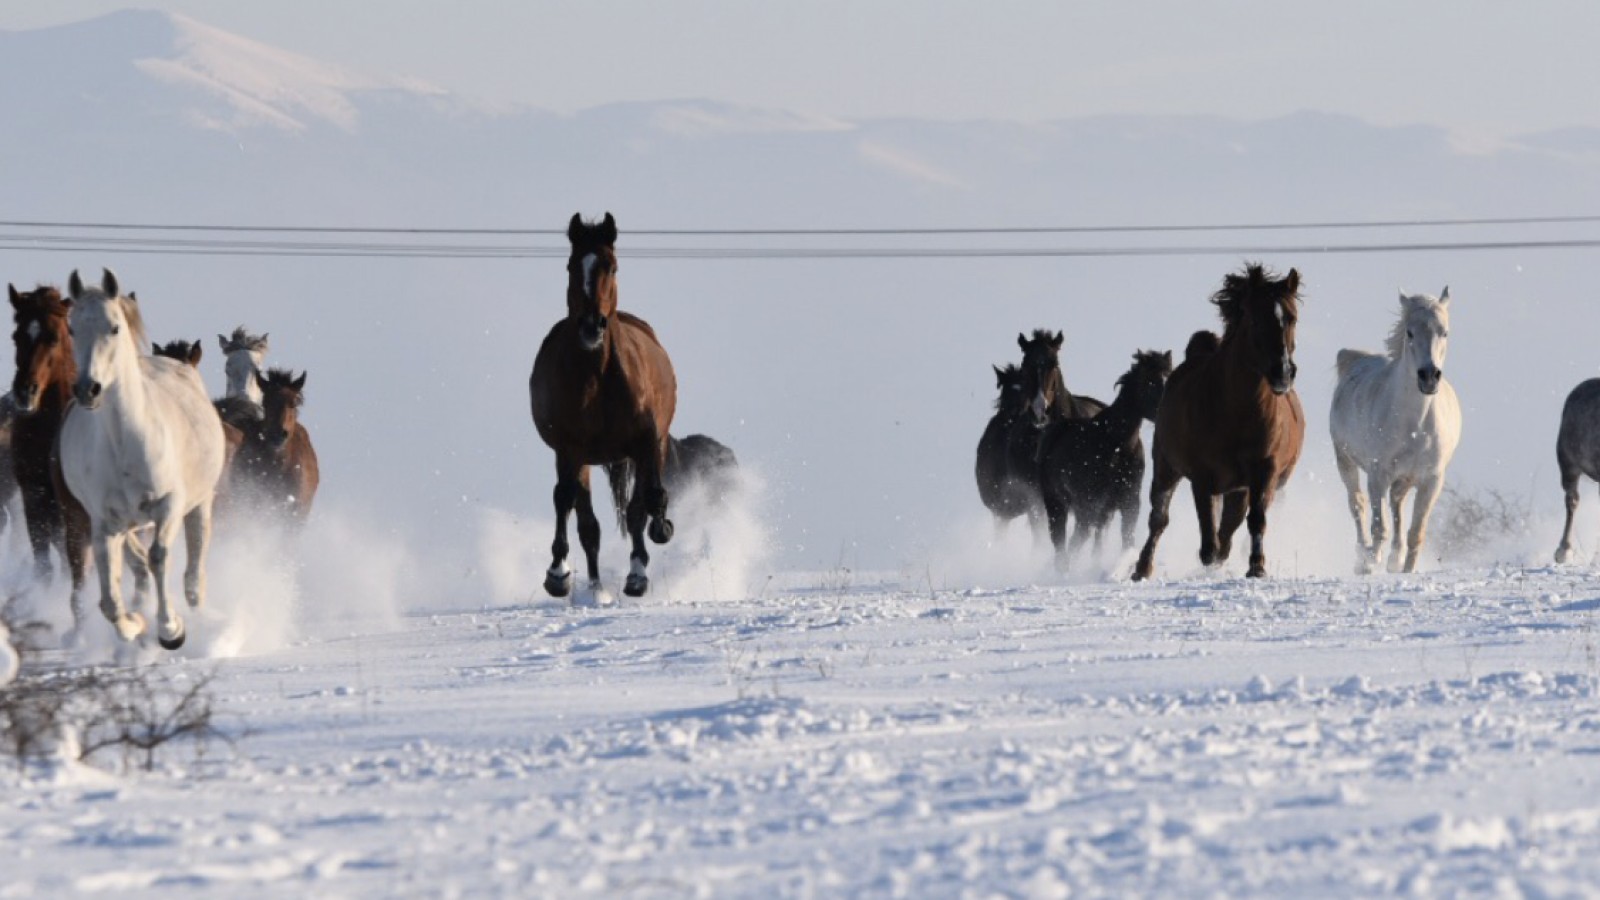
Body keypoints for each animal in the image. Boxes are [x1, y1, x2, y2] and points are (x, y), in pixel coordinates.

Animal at [59, 269, 225, 646]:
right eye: (72, 328)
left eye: (114, 327)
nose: (88, 390)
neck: (124, 444)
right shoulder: (103, 522)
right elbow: (109, 601)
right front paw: (135, 624)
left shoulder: (169, 505)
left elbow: (159, 558)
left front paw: (171, 630)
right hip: (125, 522)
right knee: (134, 562)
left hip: (200, 504)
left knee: (193, 570)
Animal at [528, 212, 672, 598]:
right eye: (571, 266)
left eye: (612, 265)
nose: (592, 326)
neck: (598, 375)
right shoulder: (568, 447)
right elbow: (565, 500)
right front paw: (557, 573)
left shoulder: (645, 443)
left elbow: (646, 503)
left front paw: (641, 567)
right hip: (583, 460)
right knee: (588, 525)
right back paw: (595, 589)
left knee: (637, 508)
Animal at [1043, 350, 1171, 566]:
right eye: (1150, 382)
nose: (1167, 412)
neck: (1115, 446)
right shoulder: (1090, 504)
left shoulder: (1128, 502)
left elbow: (1126, 538)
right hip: (1057, 504)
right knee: (1062, 541)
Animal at [1132, 262, 1305, 576]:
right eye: (1255, 319)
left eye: (1292, 318)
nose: (1282, 373)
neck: (1238, 412)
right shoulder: (1203, 477)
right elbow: (1207, 534)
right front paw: (1211, 562)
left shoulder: (1264, 471)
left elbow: (1254, 520)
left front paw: (1256, 567)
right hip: (1166, 467)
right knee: (1159, 517)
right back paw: (1142, 568)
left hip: (1240, 487)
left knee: (1230, 525)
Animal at [1331, 286, 1459, 570]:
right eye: (1410, 332)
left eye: (1444, 332)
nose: (1428, 377)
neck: (1415, 426)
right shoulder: (1378, 474)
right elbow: (1379, 526)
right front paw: (1371, 561)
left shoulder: (1431, 480)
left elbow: (1416, 533)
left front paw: (1404, 569)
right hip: (1345, 460)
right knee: (1357, 505)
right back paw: (1363, 558)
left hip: (1405, 478)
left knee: (1396, 505)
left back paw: (1393, 558)